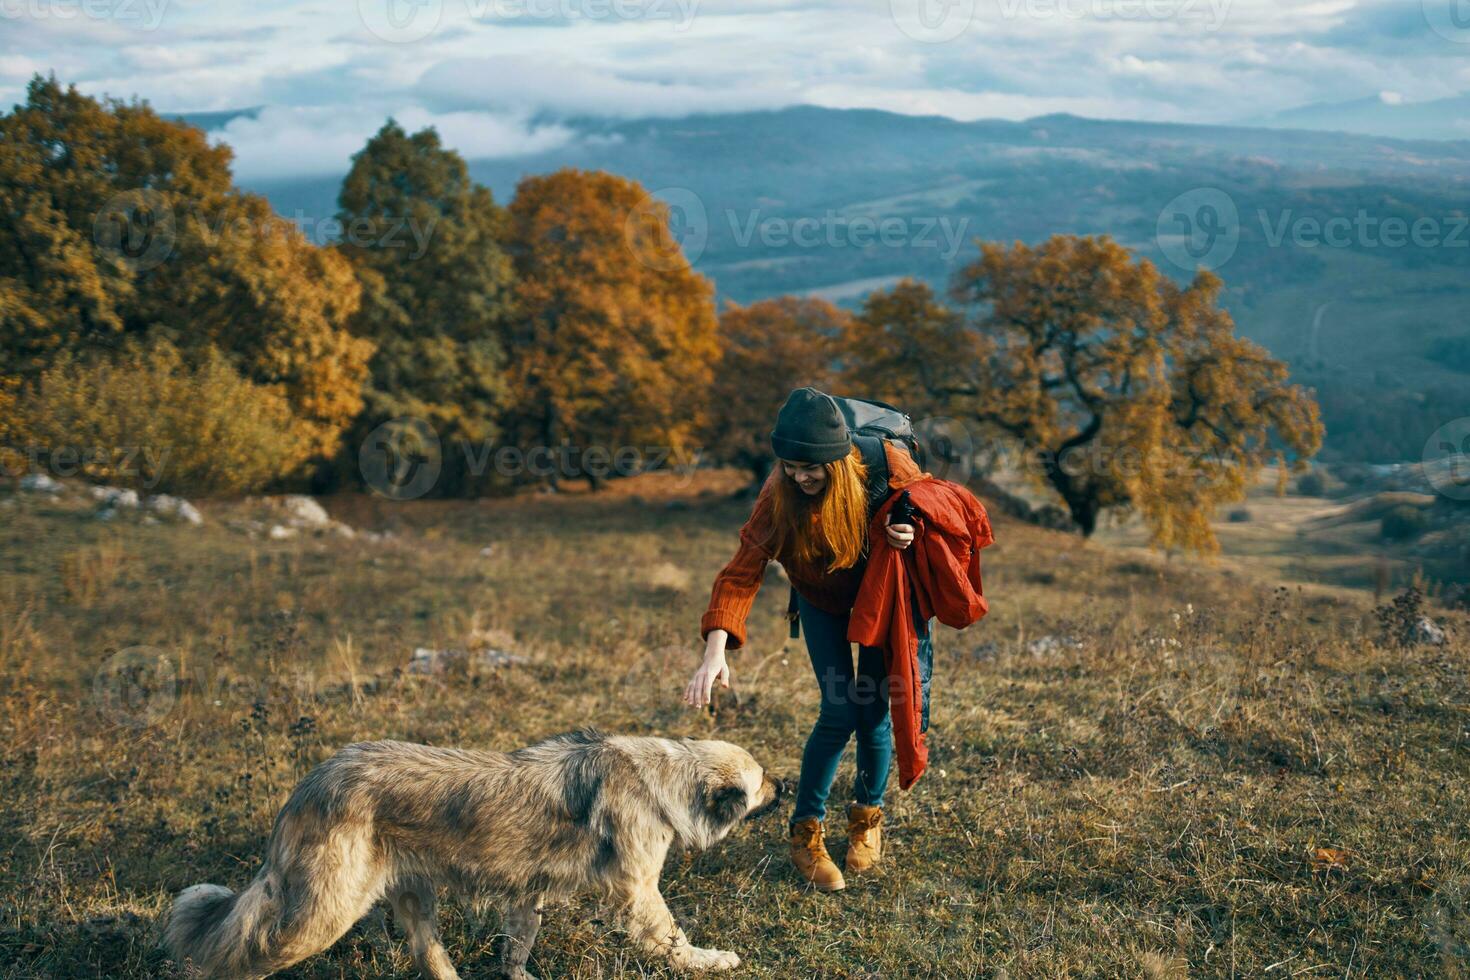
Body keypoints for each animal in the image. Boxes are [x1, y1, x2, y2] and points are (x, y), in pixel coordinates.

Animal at [162, 731, 782, 975]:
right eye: (762, 783)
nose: (787, 785)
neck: (665, 777)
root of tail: (310, 784)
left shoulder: (527, 894)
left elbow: (518, 945)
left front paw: (517, 975)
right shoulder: (637, 893)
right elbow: (672, 938)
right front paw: (710, 961)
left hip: (411, 894)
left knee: (428, 954)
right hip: (321, 913)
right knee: (239, 953)